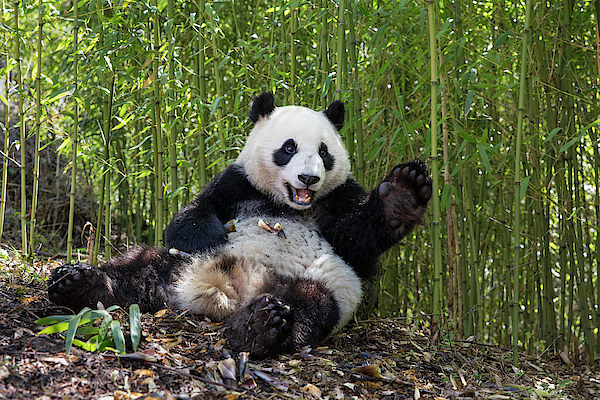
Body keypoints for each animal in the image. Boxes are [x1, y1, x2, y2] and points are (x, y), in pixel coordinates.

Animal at [48, 94, 432, 360]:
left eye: (324, 152)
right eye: (288, 147)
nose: (308, 178)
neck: (285, 205)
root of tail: (230, 291)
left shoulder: (337, 202)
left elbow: (358, 238)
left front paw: (403, 194)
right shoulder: (237, 184)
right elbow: (194, 211)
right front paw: (208, 233)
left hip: (327, 284)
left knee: (311, 306)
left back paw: (260, 327)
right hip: (176, 262)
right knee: (137, 269)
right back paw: (79, 285)